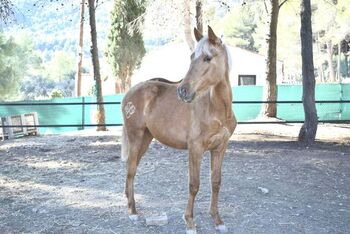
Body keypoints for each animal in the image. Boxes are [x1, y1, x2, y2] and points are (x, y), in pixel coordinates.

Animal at [121, 26, 238, 232]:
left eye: (208, 57)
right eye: (192, 57)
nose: (183, 91)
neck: (215, 110)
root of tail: (130, 92)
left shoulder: (220, 148)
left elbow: (216, 182)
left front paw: (217, 220)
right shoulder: (195, 149)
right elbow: (194, 184)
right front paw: (189, 221)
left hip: (145, 140)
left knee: (130, 168)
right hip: (135, 138)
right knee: (131, 171)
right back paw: (132, 212)